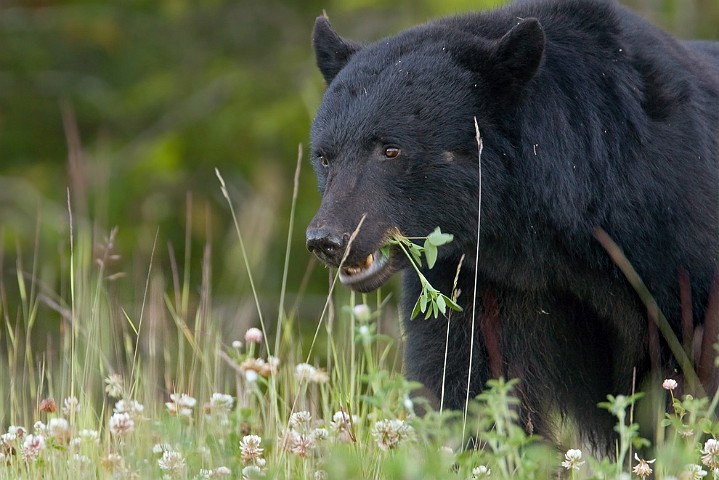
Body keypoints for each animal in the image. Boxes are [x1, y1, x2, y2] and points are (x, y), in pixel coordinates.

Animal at [306, 0, 719, 444]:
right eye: (325, 156)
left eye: (390, 149)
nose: (327, 239)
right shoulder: (477, 277)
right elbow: (463, 374)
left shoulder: (673, 236)